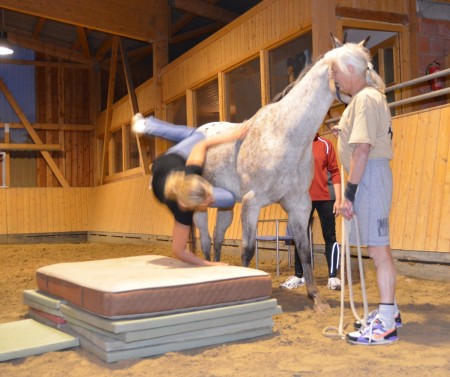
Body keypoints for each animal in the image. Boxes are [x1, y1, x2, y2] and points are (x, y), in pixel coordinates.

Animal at [193, 36, 366, 312]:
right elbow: (247, 249)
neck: (282, 135)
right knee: (205, 240)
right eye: (350, 66)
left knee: (218, 238)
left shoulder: (299, 203)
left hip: (226, 205)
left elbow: (304, 250)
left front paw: (316, 298)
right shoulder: (252, 203)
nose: (377, 92)